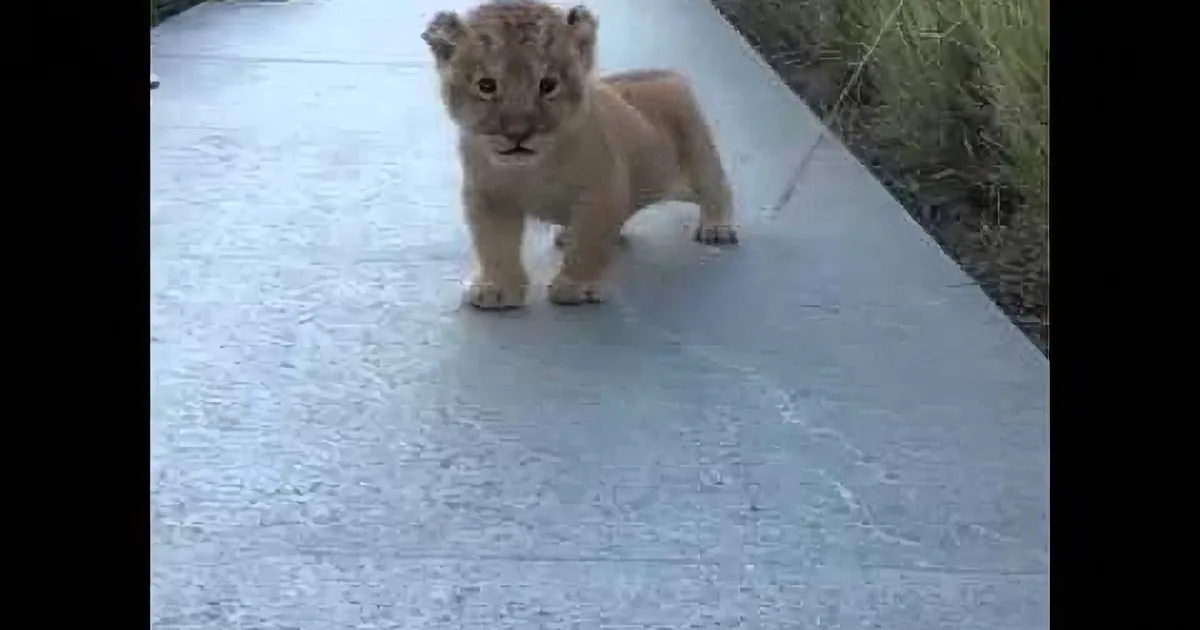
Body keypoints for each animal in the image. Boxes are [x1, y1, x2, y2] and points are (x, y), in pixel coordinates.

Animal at [422, 0, 739, 309]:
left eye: (548, 84)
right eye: (486, 86)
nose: (518, 133)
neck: (529, 168)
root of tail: (662, 73)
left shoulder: (601, 191)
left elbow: (589, 242)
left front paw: (576, 287)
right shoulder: (488, 197)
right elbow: (494, 245)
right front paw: (497, 289)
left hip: (696, 156)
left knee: (717, 188)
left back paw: (717, 228)